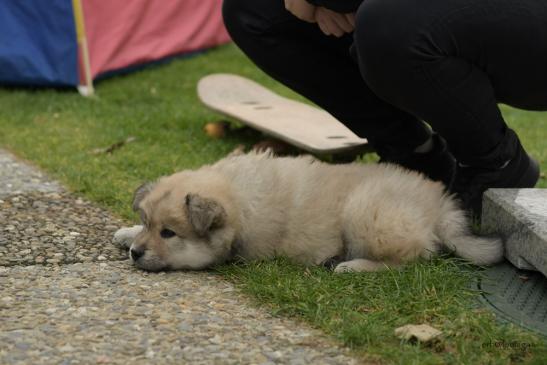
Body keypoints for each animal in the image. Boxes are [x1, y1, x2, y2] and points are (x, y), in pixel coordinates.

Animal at [116, 150, 506, 270]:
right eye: (147, 223)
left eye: (169, 234)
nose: (136, 254)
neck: (240, 199)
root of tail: (440, 206)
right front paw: (126, 233)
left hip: (365, 211)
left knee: (413, 258)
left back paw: (352, 266)